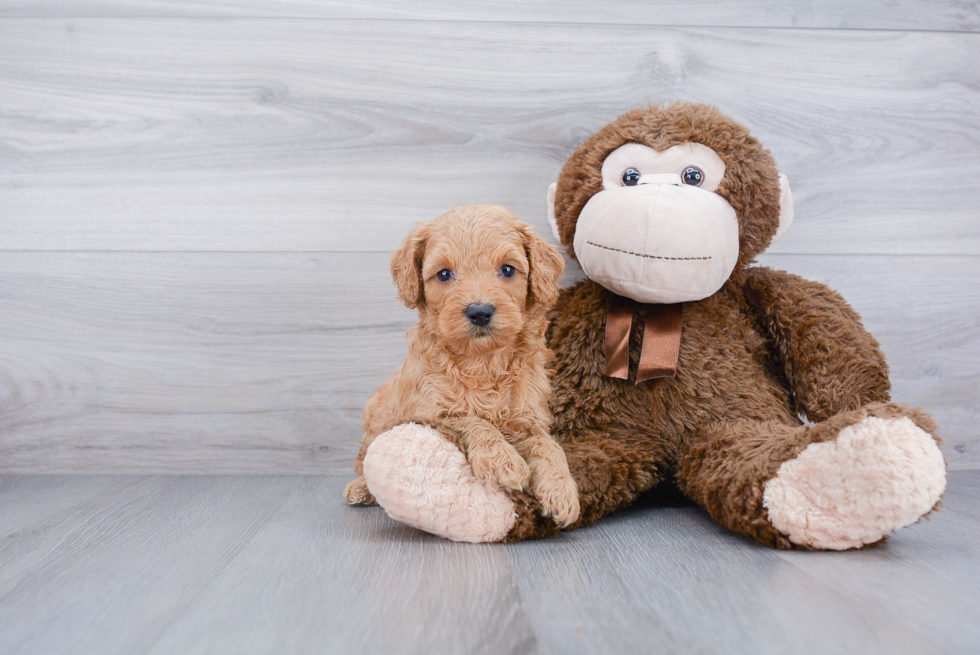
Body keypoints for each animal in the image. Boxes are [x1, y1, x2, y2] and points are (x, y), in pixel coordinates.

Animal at [342, 205, 580, 528]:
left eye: (508, 270)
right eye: (444, 274)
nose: (479, 312)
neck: (482, 361)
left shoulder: (527, 419)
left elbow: (548, 445)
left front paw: (561, 490)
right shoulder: (428, 412)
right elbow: (471, 420)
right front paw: (502, 461)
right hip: (375, 419)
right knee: (364, 459)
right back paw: (360, 488)